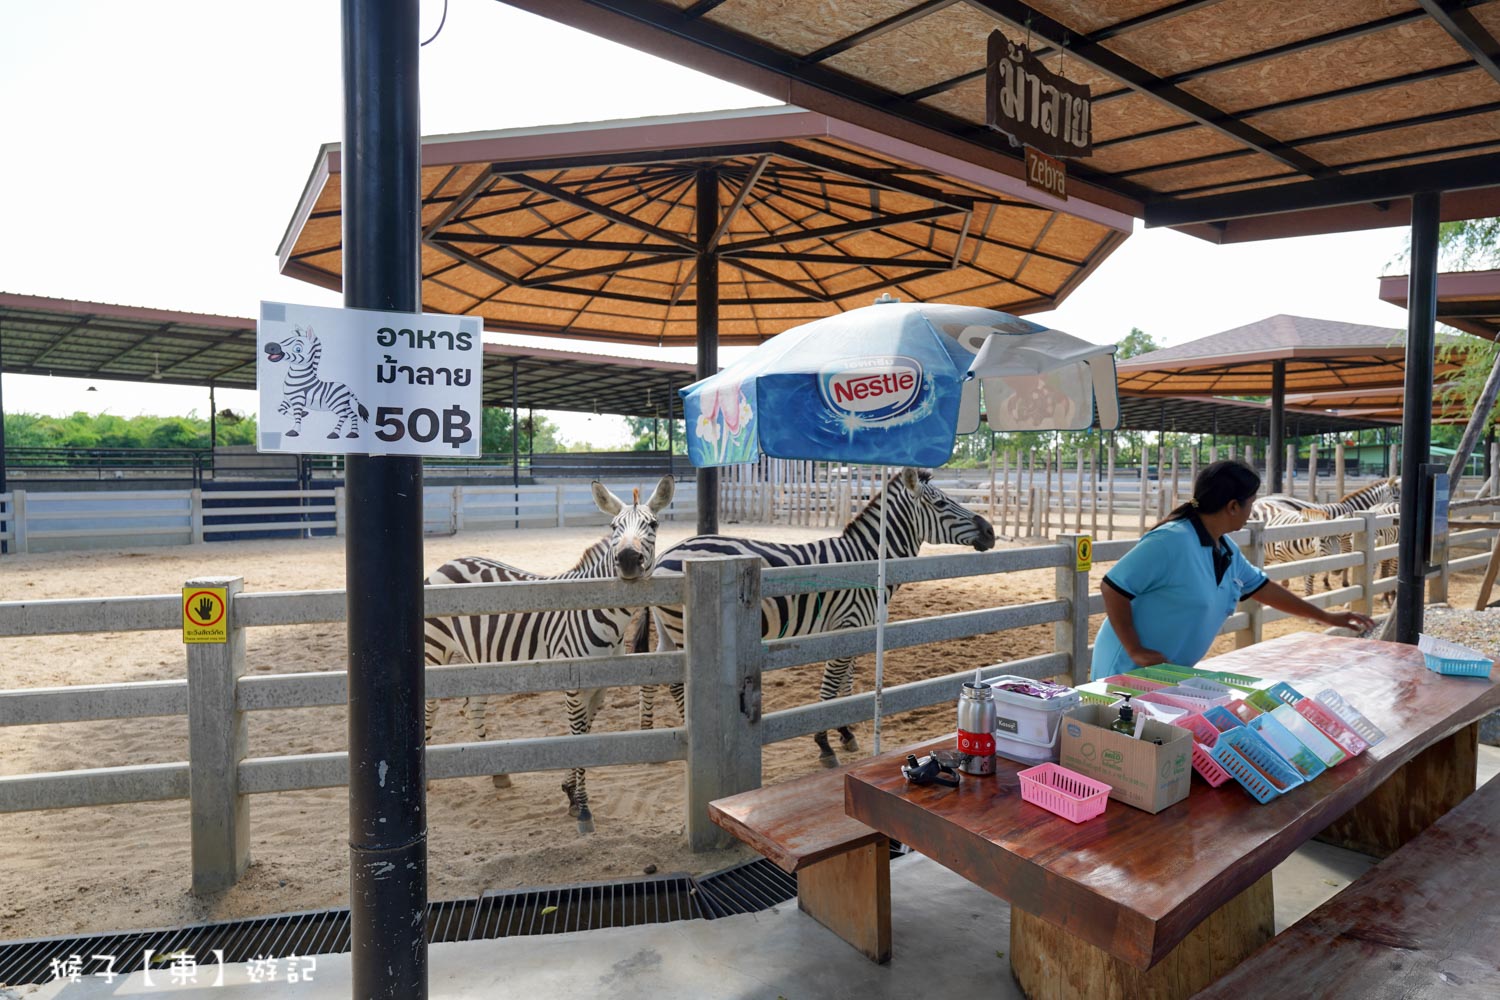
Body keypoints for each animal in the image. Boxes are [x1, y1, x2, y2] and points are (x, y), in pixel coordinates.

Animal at [426, 476, 678, 839]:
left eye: (653, 524)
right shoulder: (572, 684)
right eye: (614, 526)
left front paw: (571, 794)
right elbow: (577, 736)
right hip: (434, 649)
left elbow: (583, 733)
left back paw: (497, 774)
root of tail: (451, 560)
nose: (628, 558)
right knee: (431, 707)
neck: (603, 614)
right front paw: (583, 808)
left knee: (474, 704)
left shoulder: (600, 687)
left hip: (480, 656)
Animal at [630, 470, 996, 767]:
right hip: (683, 628)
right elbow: (831, 688)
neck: (866, 561)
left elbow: (846, 686)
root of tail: (664, 555)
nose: (991, 532)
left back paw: (652, 736)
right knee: (677, 681)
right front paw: (825, 744)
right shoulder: (846, 625)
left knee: (656, 674)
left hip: (668, 628)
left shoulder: (858, 630)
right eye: (942, 504)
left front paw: (845, 733)